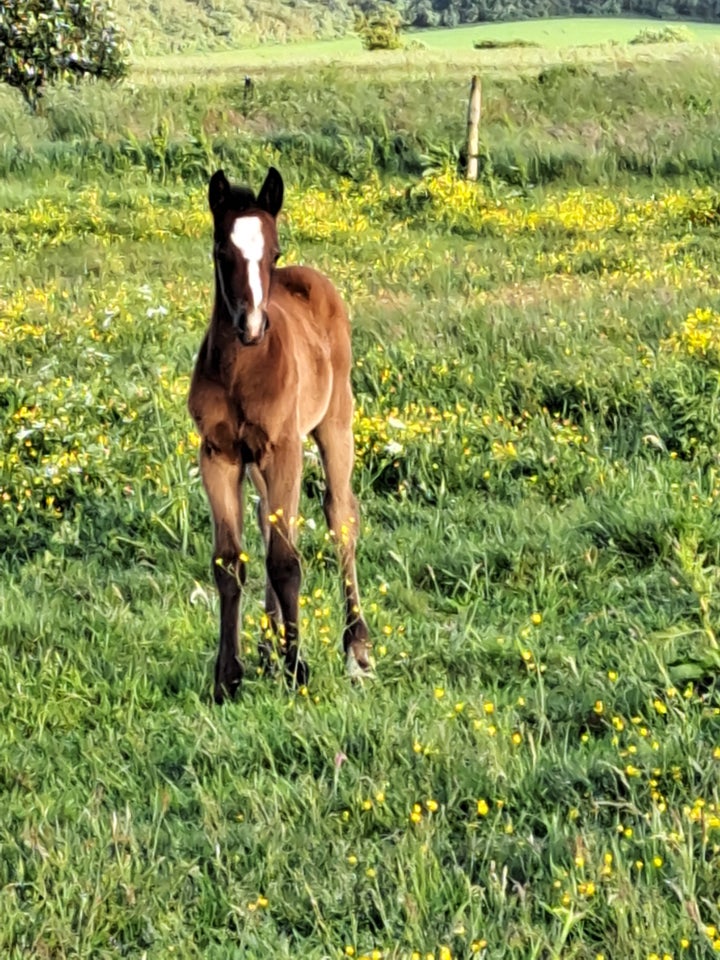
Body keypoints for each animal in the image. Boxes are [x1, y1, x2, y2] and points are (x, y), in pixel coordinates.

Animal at [188, 167, 372, 704]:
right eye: (221, 251)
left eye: (273, 251)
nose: (251, 325)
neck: (242, 370)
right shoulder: (219, 454)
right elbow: (230, 561)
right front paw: (228, 676)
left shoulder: (284, 448)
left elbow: (286, 561)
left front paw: (297, 669)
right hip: (261, 460)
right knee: (268, 520)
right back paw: (268, 649)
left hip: (334, 425)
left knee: (340, 516)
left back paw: (356, 650)